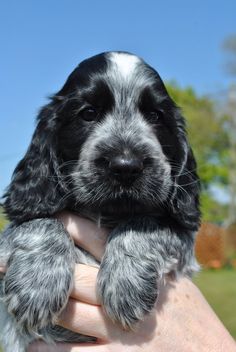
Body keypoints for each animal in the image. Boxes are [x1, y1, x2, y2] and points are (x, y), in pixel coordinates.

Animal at [0, 51, 200, 350]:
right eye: (88, 113)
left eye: (155, 116)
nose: (126, 166)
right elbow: (38, 220)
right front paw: (36, 284)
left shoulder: (184, 243)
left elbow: (146, 221)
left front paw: (125, 283)